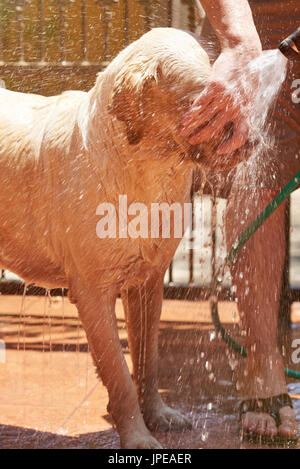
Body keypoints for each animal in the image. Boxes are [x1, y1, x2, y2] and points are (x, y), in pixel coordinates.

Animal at [0, 28, 248, 446]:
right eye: (202, 105)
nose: (252, 140)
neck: (143, 167)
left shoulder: (148, 282)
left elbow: (147, 363)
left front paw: (159, 415)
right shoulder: (92, 293)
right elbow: (119, 374)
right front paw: (136, 435)